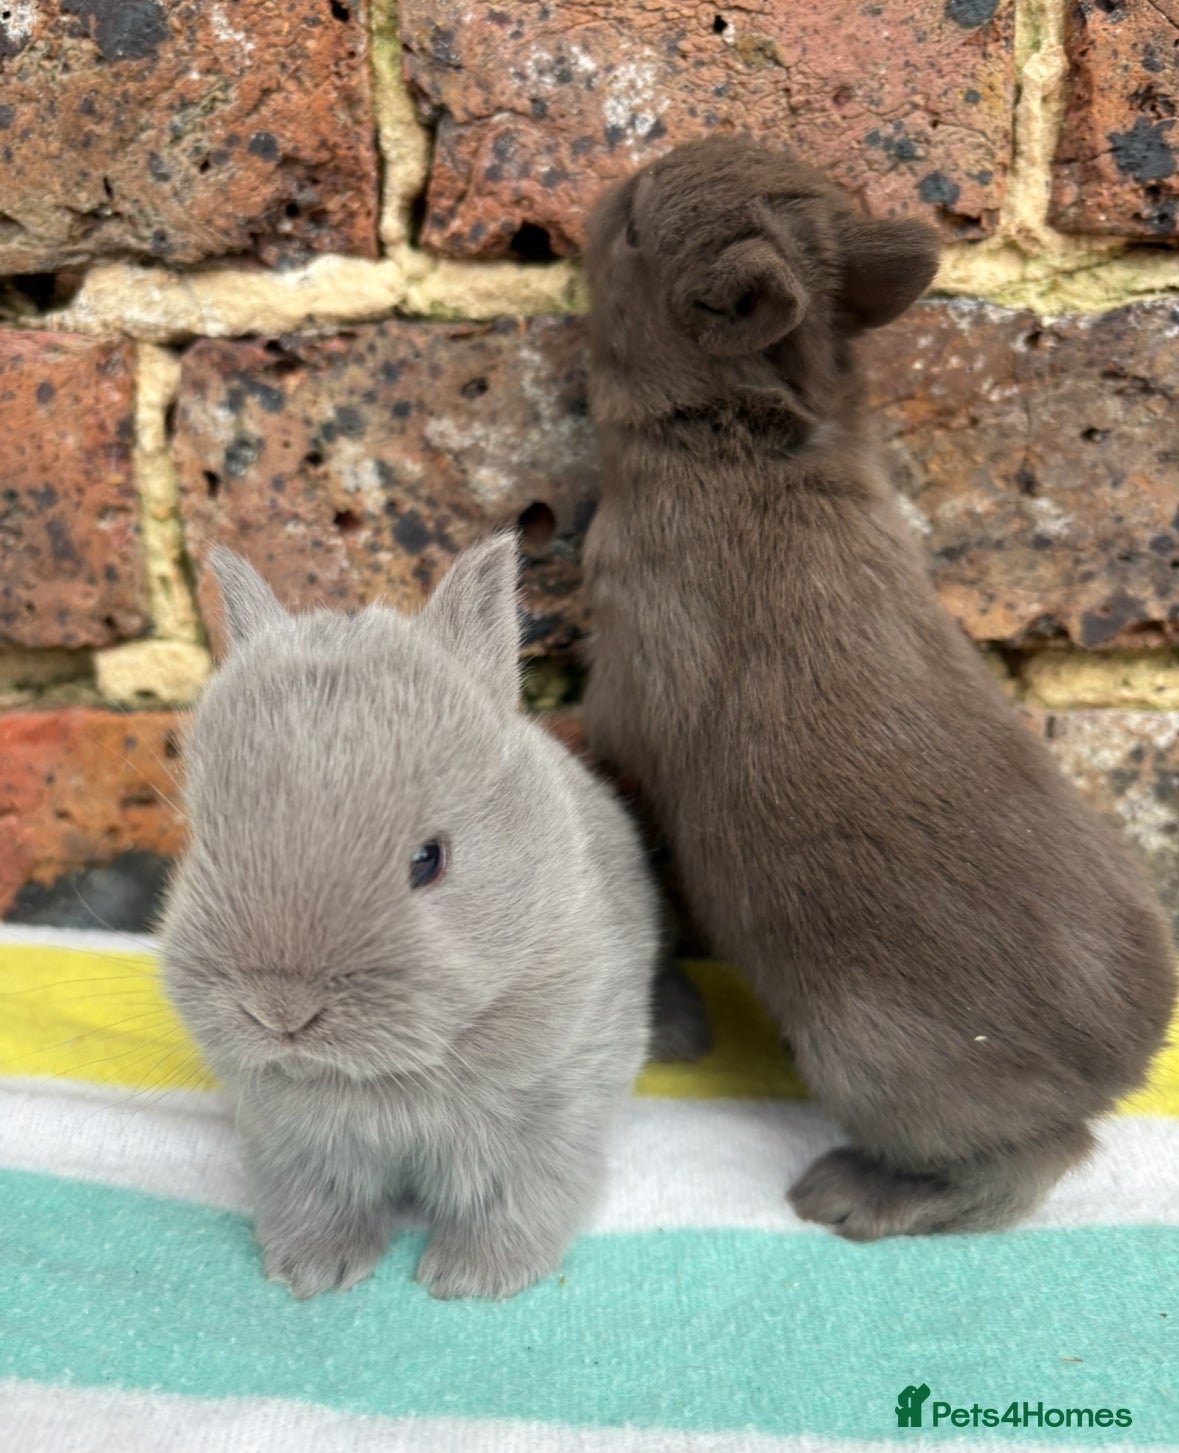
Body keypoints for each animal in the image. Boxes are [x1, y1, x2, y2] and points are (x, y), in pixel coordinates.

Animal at [160, 535, 660, 1298]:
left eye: (429, 859)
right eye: (204, 839)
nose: (280, 1013)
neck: (385, 1076)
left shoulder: (557, 1106)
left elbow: (520, 1197)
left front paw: (472, 1279)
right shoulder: (291, 1142)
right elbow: (316, 1199)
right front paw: (312, 1271)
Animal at [579, 135, 1177, 1240]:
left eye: (635, 229)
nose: (611, 188)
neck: (746, 431)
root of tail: (1124, 1066)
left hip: (870, 1057)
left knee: (1028, 1163)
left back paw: (849, 1194)